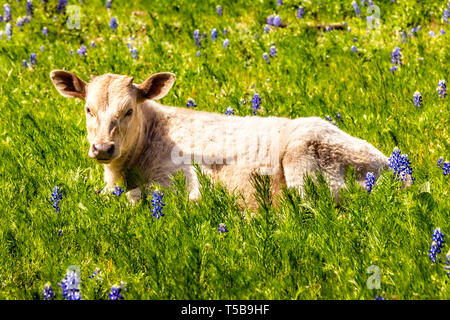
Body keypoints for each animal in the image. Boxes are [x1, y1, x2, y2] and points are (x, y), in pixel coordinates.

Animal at [50, 70, 386, 205]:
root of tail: (390, 164)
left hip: (304, 160)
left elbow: (129, 197)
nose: (102, 148)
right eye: (89, 109)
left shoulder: (180, 179)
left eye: (128, 110)